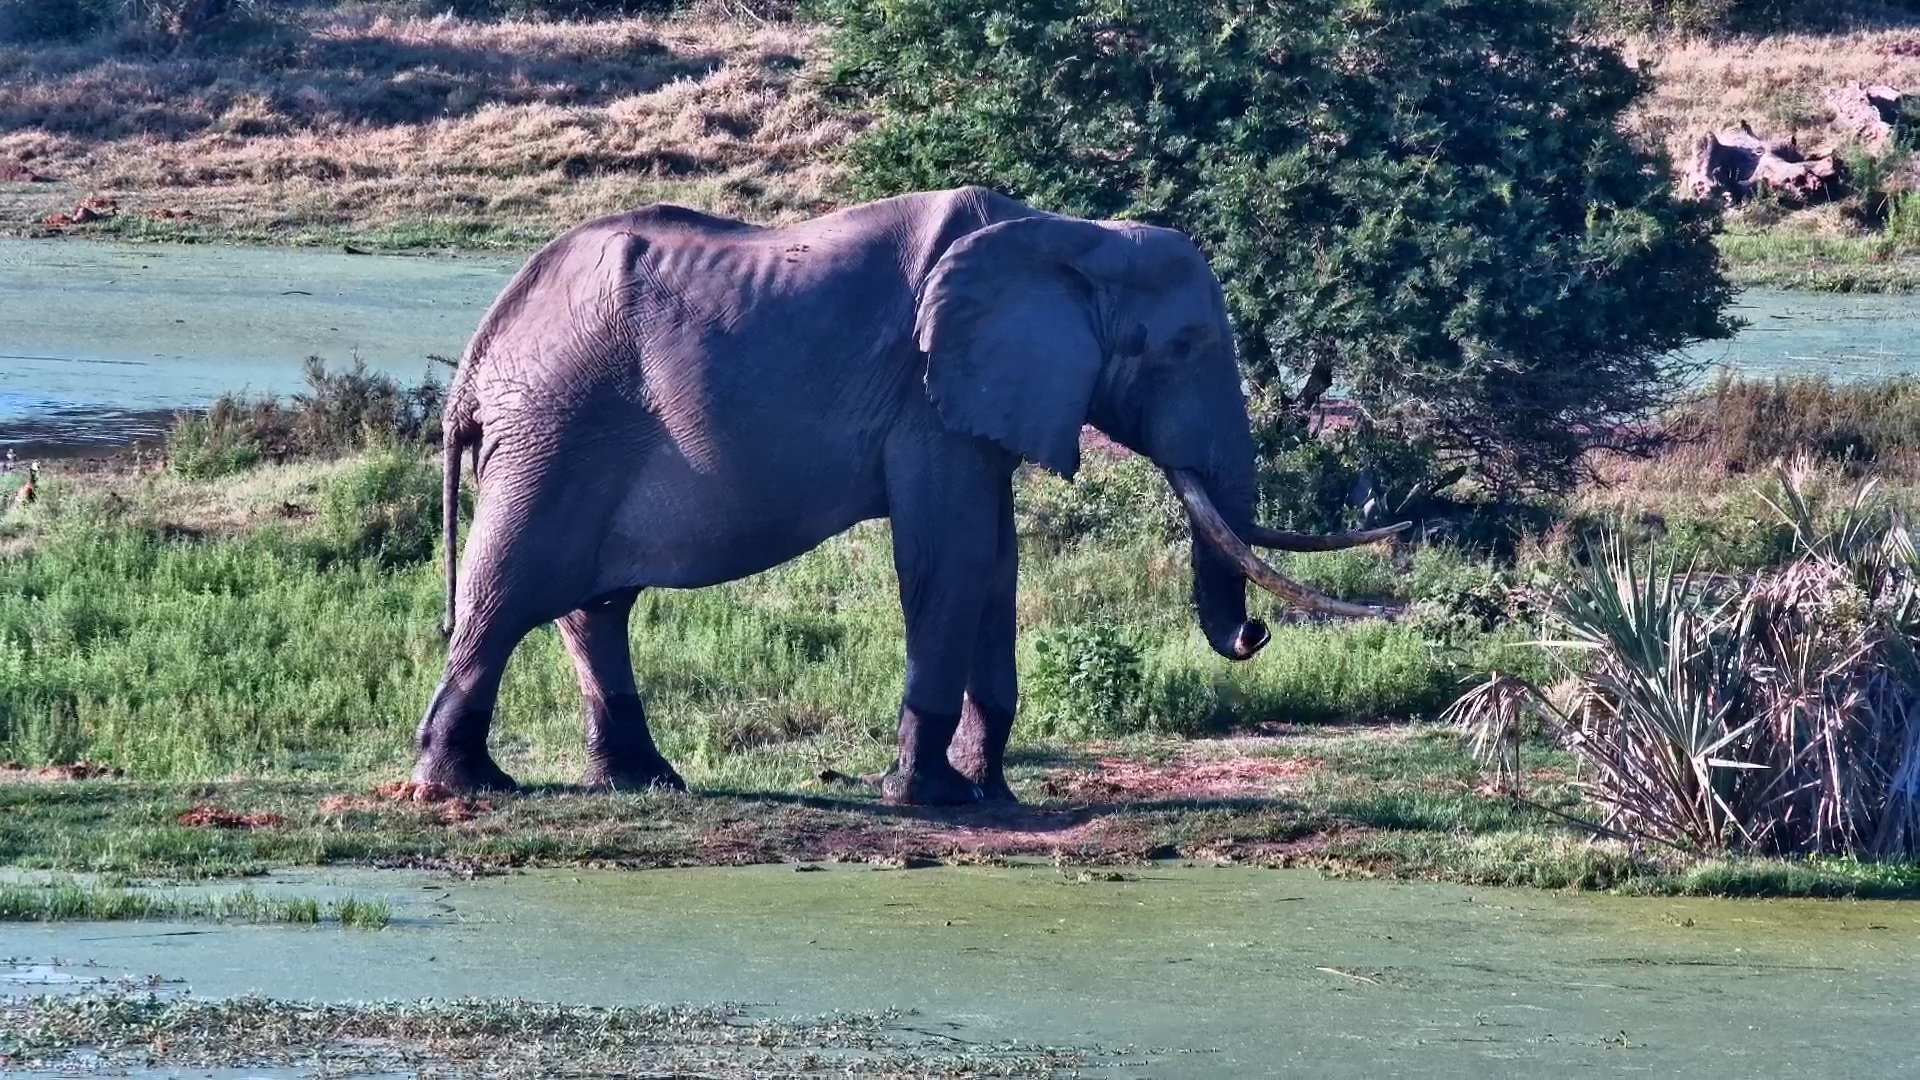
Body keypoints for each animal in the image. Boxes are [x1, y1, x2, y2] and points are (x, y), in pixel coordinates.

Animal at [416, 186, 1398, 805]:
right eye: (1182, 348)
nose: (1254, 634)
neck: (1074, 235)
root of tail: (477, 359)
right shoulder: (929, 398)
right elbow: (950, 555)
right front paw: (921, 796)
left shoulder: (977, 401)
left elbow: (995, 561)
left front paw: (989, 794)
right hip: (556, 424)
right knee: (509, 590)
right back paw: (461, 787)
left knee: (595, 606)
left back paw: (640, 782)